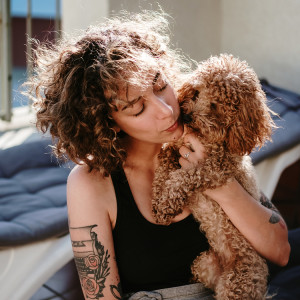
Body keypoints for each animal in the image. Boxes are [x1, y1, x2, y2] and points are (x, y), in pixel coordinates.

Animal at [152, 54, 274, 300]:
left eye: (216, 106)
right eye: (196, 93)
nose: (187, 115)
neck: (206, 136)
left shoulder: (215, 168)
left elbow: (184, 177)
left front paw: (166, 204)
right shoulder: (175, 148)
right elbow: (163, 162)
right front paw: (159, 197)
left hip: (235, 286)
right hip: (204, 262)